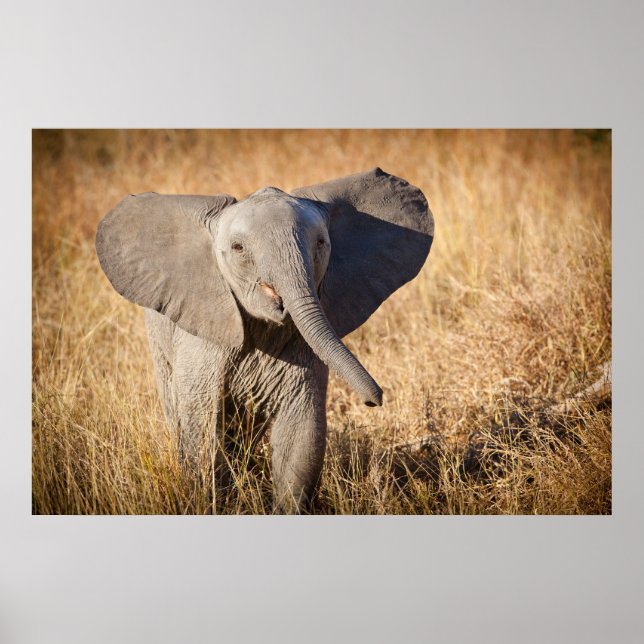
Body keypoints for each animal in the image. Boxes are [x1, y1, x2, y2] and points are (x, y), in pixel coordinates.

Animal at [96, 168, 434, 513]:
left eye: (321, 243)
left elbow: (300, 433)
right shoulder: (203, 338)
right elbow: (201, 427)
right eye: (238, 248)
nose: (374, 400)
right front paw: (212, 504)